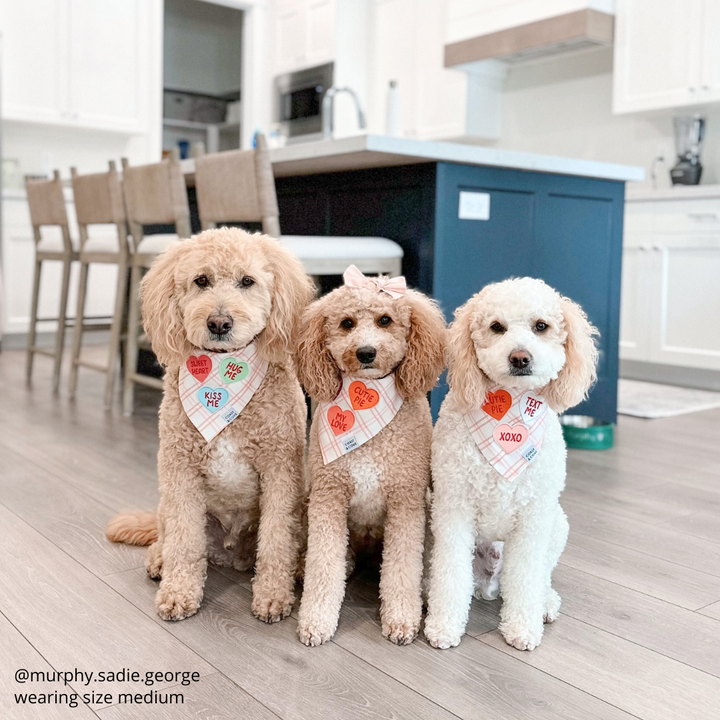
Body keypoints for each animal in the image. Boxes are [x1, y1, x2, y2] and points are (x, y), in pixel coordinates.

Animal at [424, 278, 600, 648]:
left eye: (541, 326)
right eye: (496, 327)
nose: (520, 358)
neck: (510, 410)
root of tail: (490, 582)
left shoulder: (533, 518)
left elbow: (527, 577)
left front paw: (522, 627)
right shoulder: (453, 508)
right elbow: (450, 573)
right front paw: (444, 625)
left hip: (557, 524)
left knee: (540, 576)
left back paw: (545, 603)